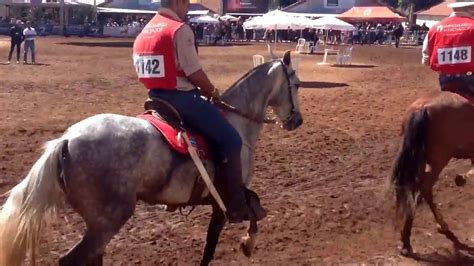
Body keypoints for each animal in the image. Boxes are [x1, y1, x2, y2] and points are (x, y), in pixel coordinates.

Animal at [0, 51, 304, 264]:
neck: (236, 120)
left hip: (98, 224)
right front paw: (247, 243)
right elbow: (219, 238)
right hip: (109, 220)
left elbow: (255, 208)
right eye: (297, 84)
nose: (297, 121)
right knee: (73, 259)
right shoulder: (227, 199)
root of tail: (66, 141)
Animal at [388, 91, 474, 256]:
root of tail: (423, 108)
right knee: (424, 188)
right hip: (440, 158)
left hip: (420, 158)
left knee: (418, 189)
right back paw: (408, 241)